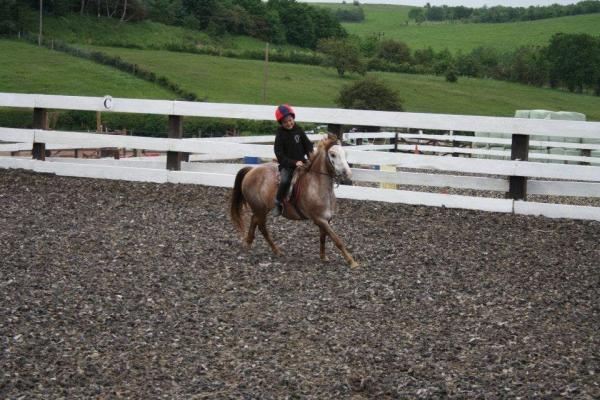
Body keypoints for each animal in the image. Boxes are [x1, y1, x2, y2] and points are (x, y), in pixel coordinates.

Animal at [231, 135, 358, 268]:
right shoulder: (319, 219)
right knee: (262, 227)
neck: (316, 186)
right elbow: (337, 240)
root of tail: (251, 170)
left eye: (345, 153)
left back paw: (250, 243)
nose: (348, 175)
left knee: (254, 221)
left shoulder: (326, 219)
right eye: (333, 154)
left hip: (260, 209)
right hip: (260, 209)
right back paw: (274, 249)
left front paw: (323, 257)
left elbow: (323, 238)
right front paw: (351, 261)